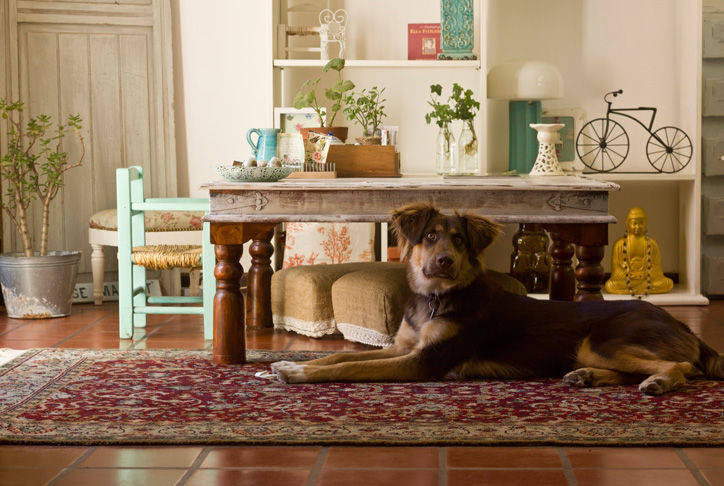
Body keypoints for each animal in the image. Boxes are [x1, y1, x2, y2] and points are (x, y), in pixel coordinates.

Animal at [272, 202, 724, 394]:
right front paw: (284, 364)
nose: (443, 261)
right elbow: (337, 358)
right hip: (595, 349)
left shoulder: (424, 361)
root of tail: (683, 326)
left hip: (605, 339)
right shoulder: (403, 347)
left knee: (683, 366)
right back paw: (586, 377)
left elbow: (348, 367)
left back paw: (659, 381)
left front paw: (298, 373)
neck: (435, 299)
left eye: (458, 239)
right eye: (430, 236)